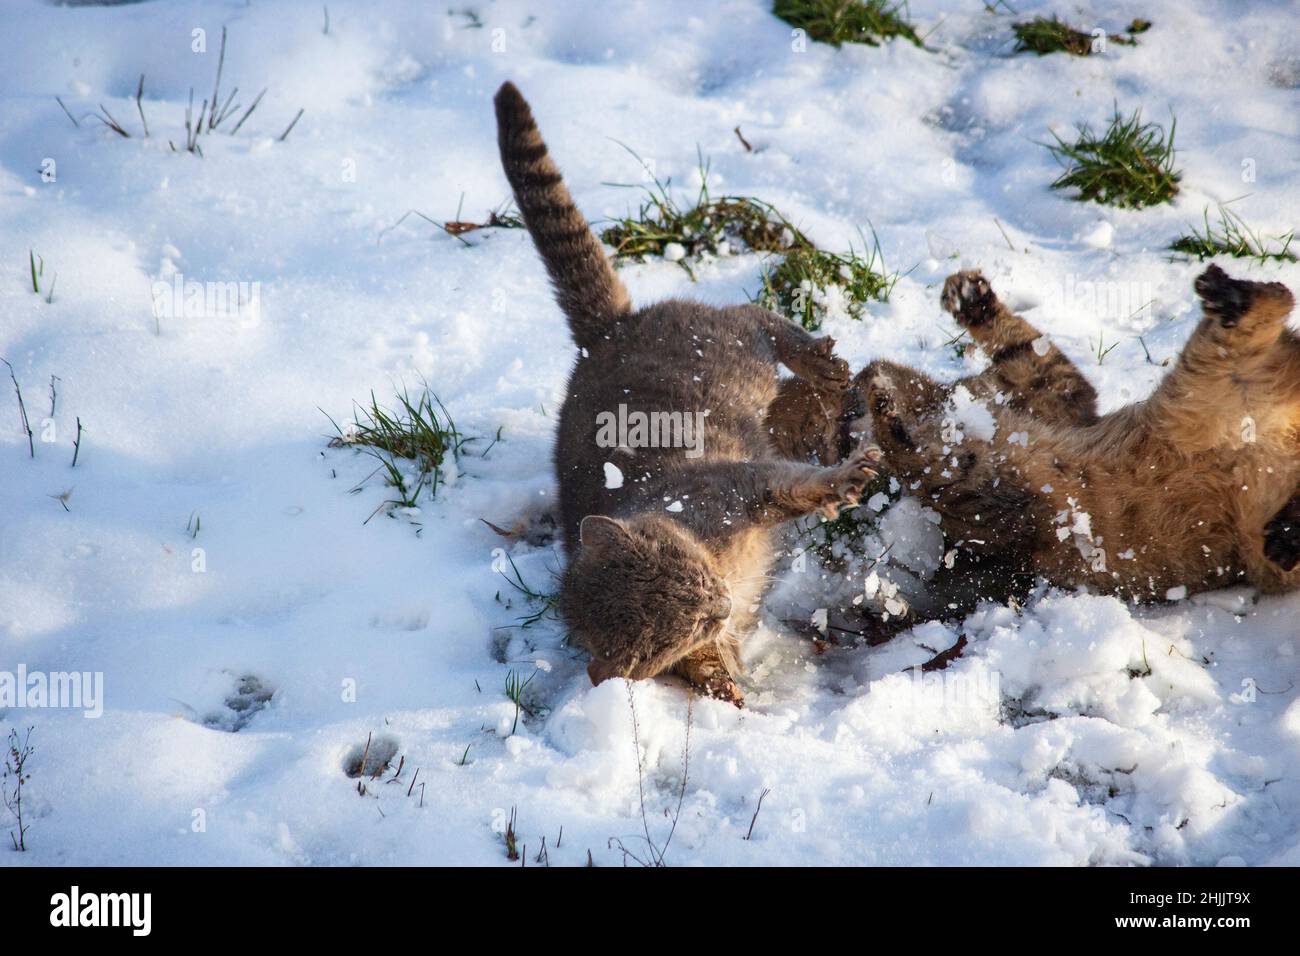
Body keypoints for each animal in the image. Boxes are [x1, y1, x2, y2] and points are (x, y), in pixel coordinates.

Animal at [491, 83, 878, 702]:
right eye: (683, 625)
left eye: (690, 576)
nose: (721, 603)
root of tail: (606, 334)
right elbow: (711, 671)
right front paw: (732, 694)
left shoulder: (737, 485)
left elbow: (793, 485)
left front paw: (840, 480)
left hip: (729, 353)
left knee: (750, 318)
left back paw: (813, 358)